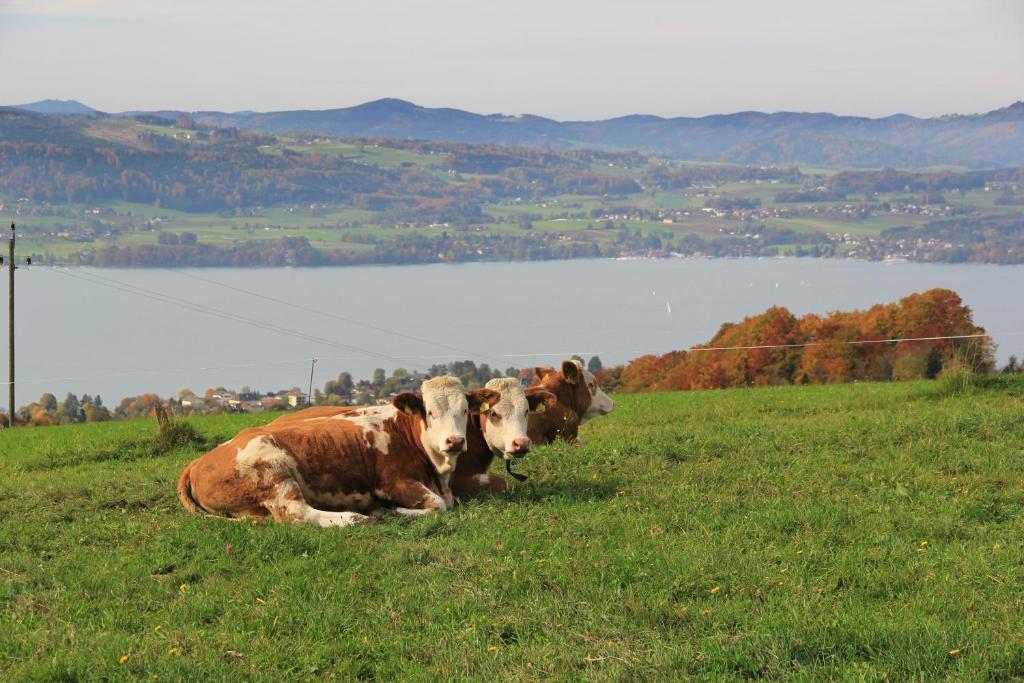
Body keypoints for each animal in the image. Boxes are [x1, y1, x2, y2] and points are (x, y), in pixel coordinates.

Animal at [178, 376, 501, 528]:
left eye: (464, 410)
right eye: (430, 412)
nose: (454, 441)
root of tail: (196, 461)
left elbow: (447, 502)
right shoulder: (392, 483)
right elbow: (439, 505)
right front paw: (389, 510)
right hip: (274, 473)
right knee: (297, 514)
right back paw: (356, 518)